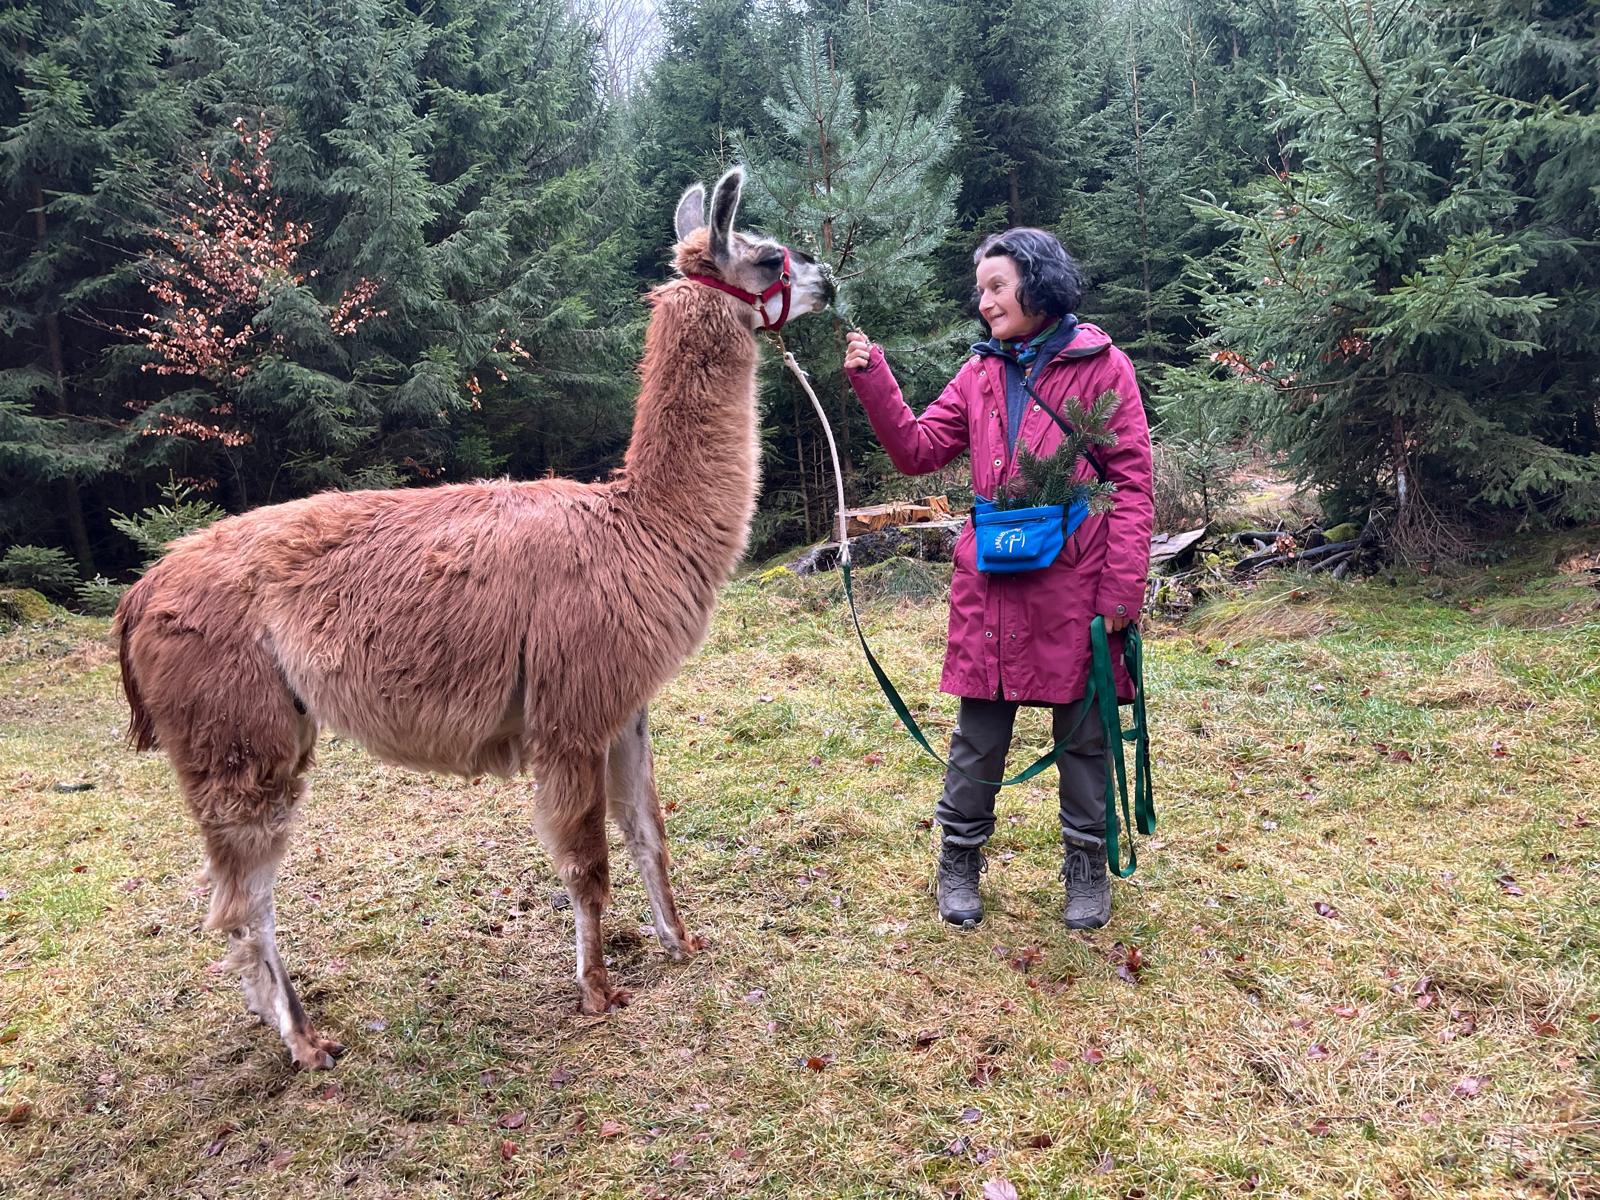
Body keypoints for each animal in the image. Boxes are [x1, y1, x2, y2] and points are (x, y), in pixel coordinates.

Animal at [114, 168, 832, 1069]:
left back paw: (275, 1020)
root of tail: (142, 591)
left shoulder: (624, 703)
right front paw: (598, 992)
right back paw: (306, 1042)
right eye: (770, 255)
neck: (642, 527)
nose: (829, 277)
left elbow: (649, 832)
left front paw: (681, 942)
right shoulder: (570, 712)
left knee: (230, 897)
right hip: (237, 733)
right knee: (247, 901)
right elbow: (588, 862)